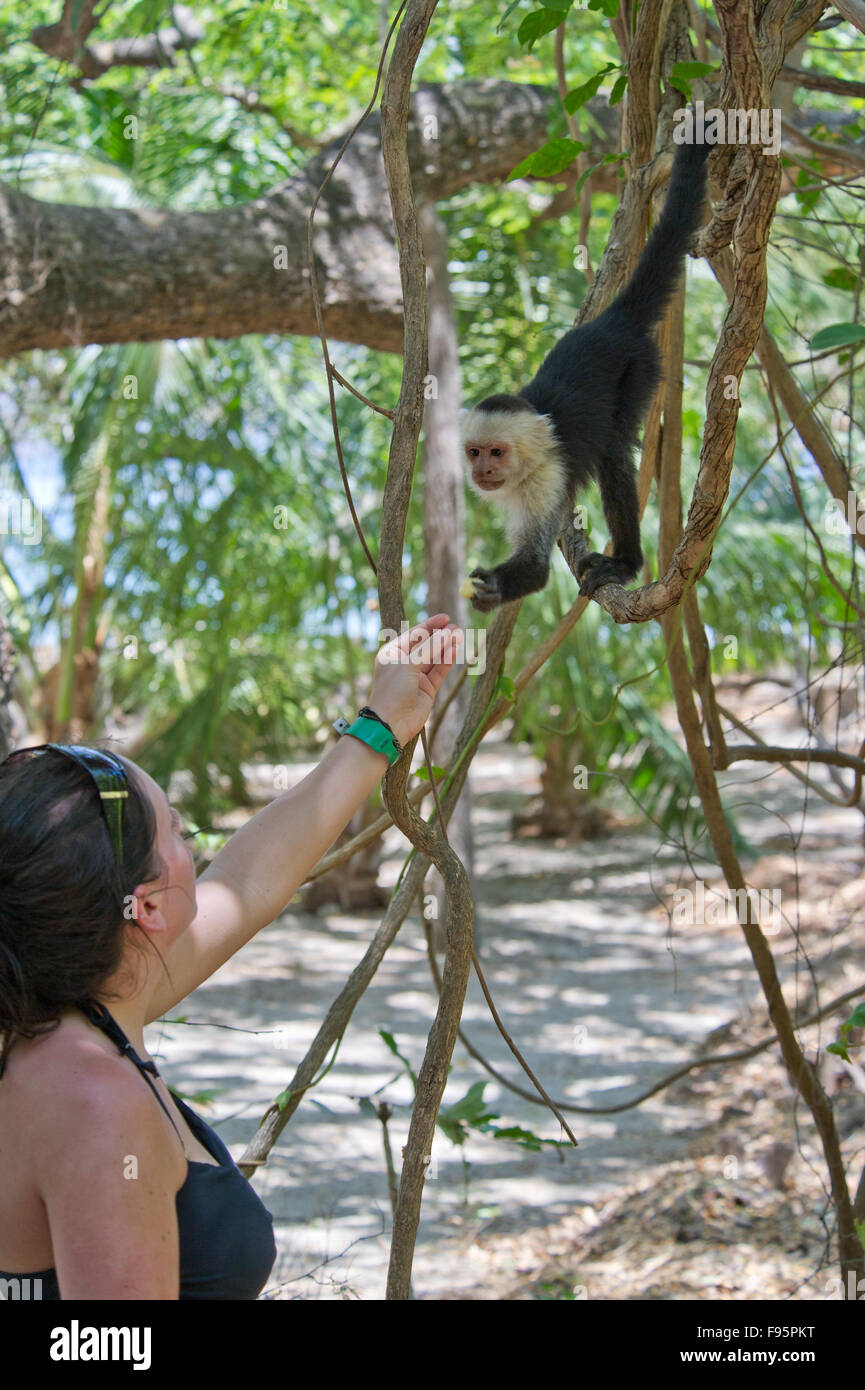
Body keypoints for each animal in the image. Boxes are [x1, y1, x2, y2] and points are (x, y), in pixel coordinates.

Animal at [464, 136, 717, 614]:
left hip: (640, 367)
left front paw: (495, 588)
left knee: (614, 452)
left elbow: (536, 569)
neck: (526, 465)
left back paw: (625, 563)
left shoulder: (544, 480)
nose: (482, 471)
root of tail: (612, 322)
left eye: (497, 453)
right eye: (474, 453)